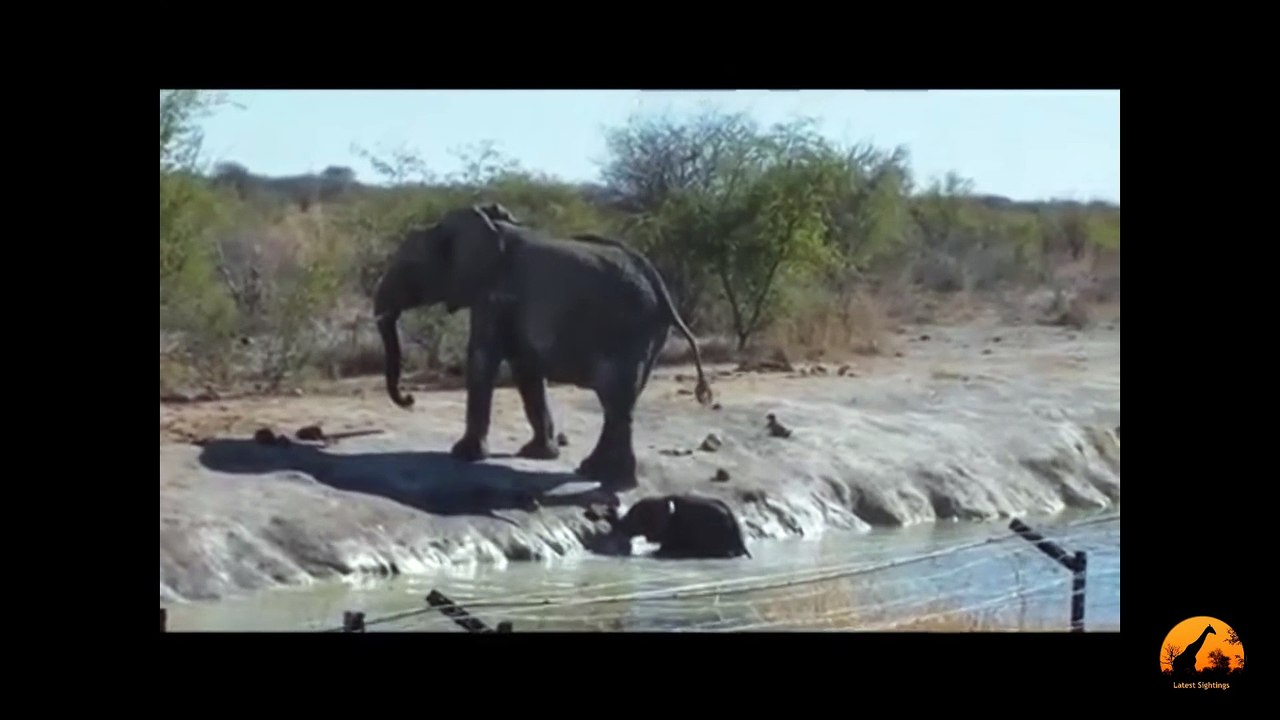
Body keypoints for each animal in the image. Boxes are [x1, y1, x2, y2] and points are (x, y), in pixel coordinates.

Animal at [373, 203, 713, 490]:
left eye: (409, 267)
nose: (410, 398)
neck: (490, 226)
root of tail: (662, 292)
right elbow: (526, 372)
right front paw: (538, 454)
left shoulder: (492, 296)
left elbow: (482, 359)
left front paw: (463, 455)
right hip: (646, 337)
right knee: (618, 404)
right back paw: (594, 472)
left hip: (627, 331)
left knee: (616, 400)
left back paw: (613, 481)